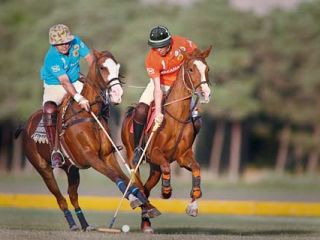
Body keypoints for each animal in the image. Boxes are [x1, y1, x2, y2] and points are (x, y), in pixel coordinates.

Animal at [15, 48, 160, 231]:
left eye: (118, 67)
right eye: (102, 67)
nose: (117, 94)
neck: (89, 114)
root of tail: (26, 125)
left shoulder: (107, 156)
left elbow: (127, 179)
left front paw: (148, 206)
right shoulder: (90, 156)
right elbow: (115, 176)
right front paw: (136, 200)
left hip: (72, 169)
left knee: (72, 195)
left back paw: (84, 224)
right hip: (42, 167)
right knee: (60, 198)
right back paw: (72, 224)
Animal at [121, 46, 211, 232]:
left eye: (207, 69)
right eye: (191, 69)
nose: (206, 93)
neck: (177, 117)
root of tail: (129, 113)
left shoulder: (183, 156)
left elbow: (197, 168)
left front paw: (193, 203)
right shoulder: (155, 152)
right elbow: (166, 167)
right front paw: (166, 191)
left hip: (154, 170)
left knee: (146, 189)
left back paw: (146, 220)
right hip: (134, 158)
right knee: (139, 184)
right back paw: (144, 207)